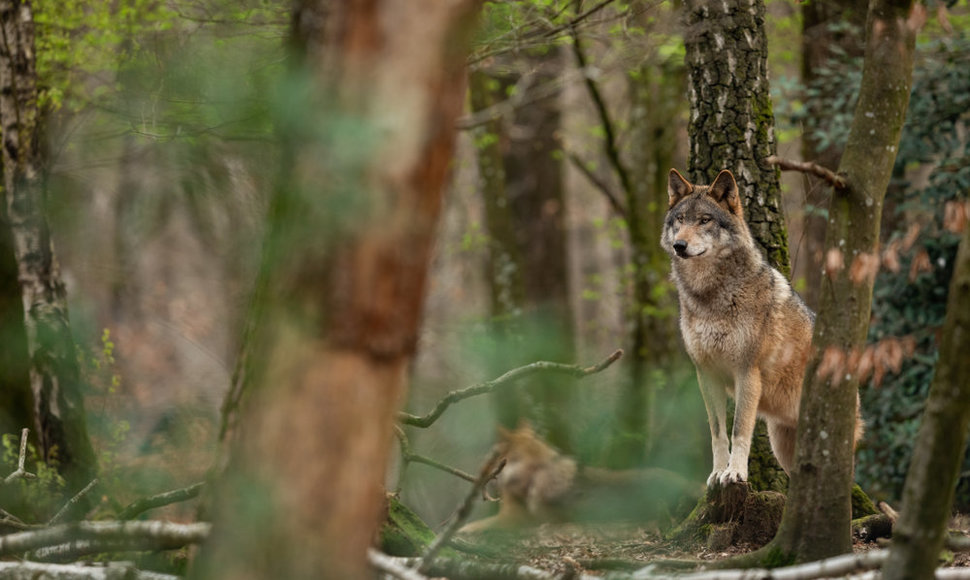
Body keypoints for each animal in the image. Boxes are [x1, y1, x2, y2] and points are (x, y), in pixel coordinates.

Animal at [660, 169, 860, 490]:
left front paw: (735, 473)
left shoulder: (747, 371)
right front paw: (717, 474)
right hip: (785, 447)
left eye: (704, 220)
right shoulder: (706, 374)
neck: (710, 296)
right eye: (680, 219)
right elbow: (718, 433)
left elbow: (739, 430)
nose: (679, 245)